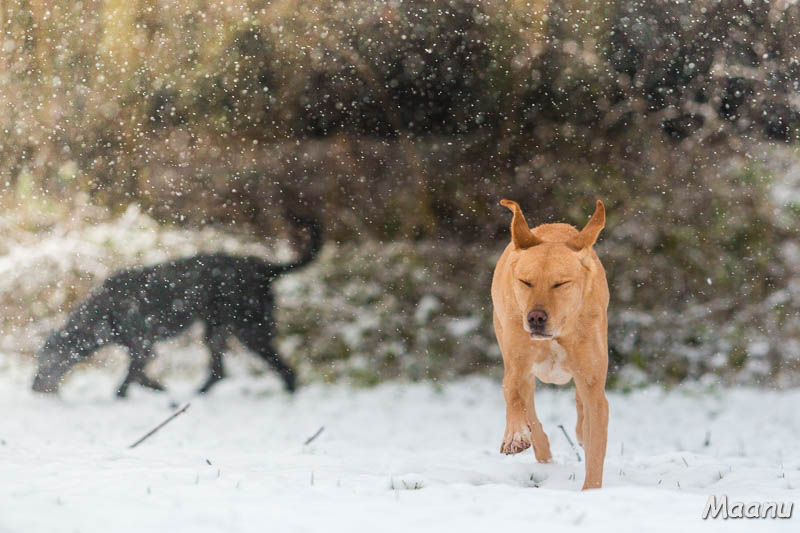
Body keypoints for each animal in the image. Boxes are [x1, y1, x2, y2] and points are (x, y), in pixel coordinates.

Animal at [33, 215, 322, 394]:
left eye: (46, 362)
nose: (32, 386)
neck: (104, 311)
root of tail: (266, 270)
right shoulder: (142, 351)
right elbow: (140, 379)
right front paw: (163, 391)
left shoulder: (143, 348)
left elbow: (126, 384)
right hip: (216, 332)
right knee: (219, 372)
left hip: (251, 331)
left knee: (286, 371)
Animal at [490, 200, 608, 490]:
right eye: (525, 281)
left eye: (560, 283)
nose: (535, 317)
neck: (557, 335)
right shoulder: (517, 363)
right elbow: (514, 393)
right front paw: (515, 436)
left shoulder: (593, 382)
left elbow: (595, 442)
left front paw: (592, 491)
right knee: (527, 402)